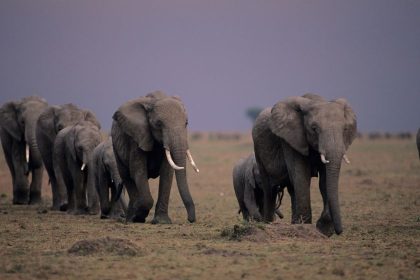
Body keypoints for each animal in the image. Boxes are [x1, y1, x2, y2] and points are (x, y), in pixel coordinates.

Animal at [111, 91, 200, 224]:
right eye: (158, 124)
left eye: (186, 123)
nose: (190, 219)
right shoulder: (137, 137)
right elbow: (138, 170)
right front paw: (139, 216)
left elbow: (166, 173)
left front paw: (162, 221)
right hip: (115, 147)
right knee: (127, 176)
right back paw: (132, 218)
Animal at [251, 94, 356, 236]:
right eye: (314, 128)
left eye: (344, 129)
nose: (339, 232)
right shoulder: (290, 140)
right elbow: (301, 175)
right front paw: (306, 226)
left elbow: (324, 181)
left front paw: (323, 229)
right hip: (258, 152)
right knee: (270, 190)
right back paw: (268, 223)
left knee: (292, 188)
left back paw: (294, 222)